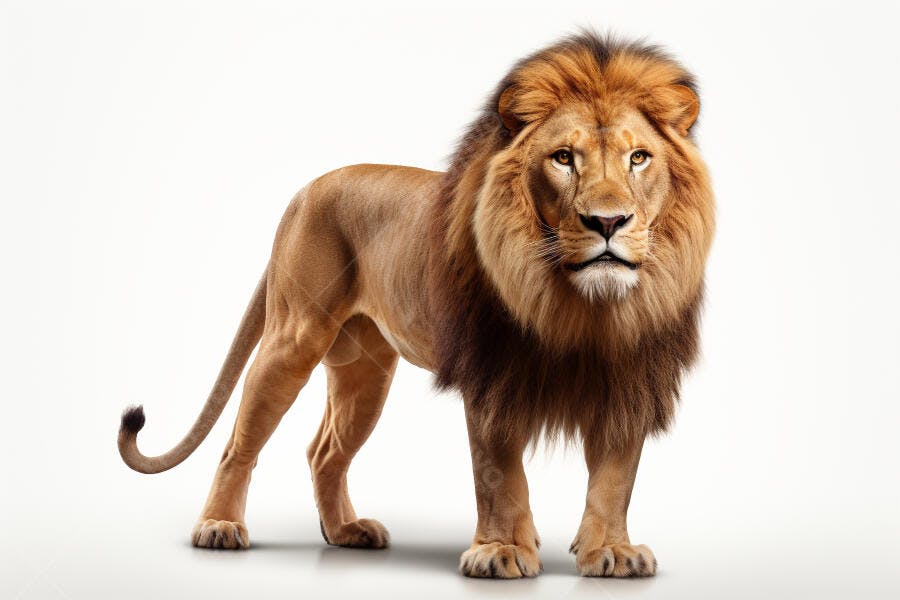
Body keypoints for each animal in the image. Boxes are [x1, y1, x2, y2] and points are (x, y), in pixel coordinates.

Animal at [118, 31, 714, 579]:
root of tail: (306, 191)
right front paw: (501, 551)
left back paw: (345, 531)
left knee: (324, 450)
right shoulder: (491, 373)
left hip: (365, 371)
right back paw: (219, 526)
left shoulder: (630, 375)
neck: (582, 307)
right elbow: (499, 474)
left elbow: (615, 478)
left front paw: (611, 551)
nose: (608, 222)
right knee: (238, 444)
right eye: (564, 159)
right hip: (293, 337)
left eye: (639, 158)